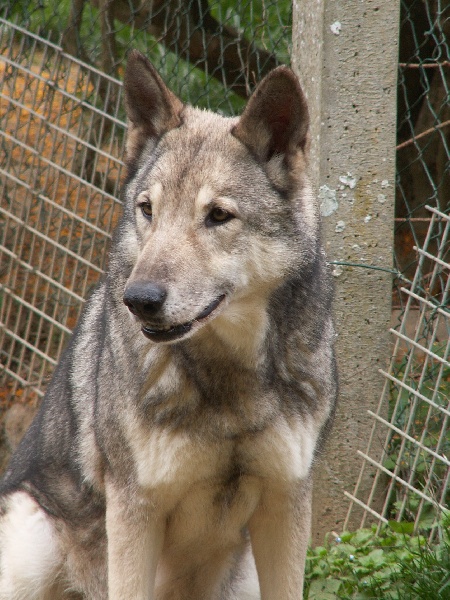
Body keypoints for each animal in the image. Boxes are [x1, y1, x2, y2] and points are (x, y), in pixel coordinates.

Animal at [0, 51, 338, 600]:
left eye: (218, 215)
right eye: (147, 210)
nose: (138, 300)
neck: (228, 383)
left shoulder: (286, 503)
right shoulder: (135, 510)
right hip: (33, 547)